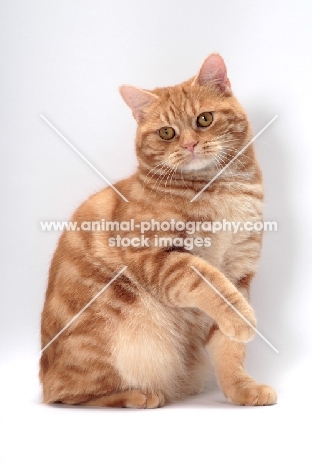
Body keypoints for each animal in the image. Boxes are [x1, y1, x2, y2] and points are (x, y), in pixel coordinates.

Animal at [40, 54, 276, 406]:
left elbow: (229, 350)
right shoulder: (158, 257)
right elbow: (210, 283)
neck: (221, 190)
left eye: (204, 119)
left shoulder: (239, 271)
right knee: (68, 395)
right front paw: (243, 319)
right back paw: (139, 395)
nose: (190, 144)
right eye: (166, 132)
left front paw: (242, 389)